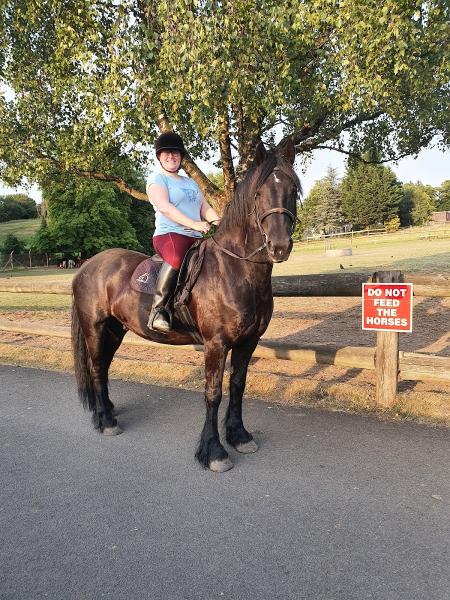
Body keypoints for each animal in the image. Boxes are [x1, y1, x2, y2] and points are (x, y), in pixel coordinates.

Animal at [72, 138, 300, 472]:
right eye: (259, 193)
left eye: (293, 190)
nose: (279, 247)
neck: (235, 269)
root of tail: (87, 266)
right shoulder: (216, 344)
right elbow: (213, 392)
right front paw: (214, 451)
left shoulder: (248, 342)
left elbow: (238, 386)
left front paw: (239, 436)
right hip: (95, 327)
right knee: (97, 365)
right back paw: (106, 421)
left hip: (115, 330)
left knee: (103, 365)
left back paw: (109, 410)